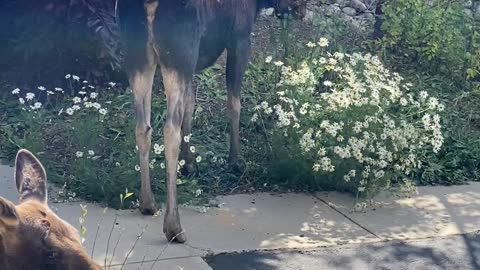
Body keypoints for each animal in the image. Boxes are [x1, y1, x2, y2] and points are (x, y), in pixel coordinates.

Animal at [120, 0, 308, 243]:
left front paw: (190, 163)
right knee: (169, 130)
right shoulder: (239, 37)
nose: (301, 11)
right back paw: (174, 227)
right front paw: (235, 160)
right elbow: (234, 103)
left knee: (143, 127)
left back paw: (148, 203)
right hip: (179, 55)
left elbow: (190, 105)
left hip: (138, 57)